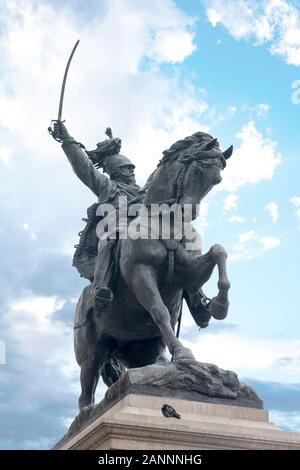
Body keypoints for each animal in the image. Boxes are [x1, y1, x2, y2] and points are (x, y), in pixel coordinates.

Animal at [74, 131, 233, 408]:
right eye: (198, 169)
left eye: (217, 179)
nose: (190, 212)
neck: (166, 221)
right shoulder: (141, 272)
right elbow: (159, 311)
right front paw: (183, 353)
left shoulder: (188, 273)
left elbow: (218, 251)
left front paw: (219, 306)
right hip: (90, 356)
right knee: (85, 395)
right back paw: (88, 412)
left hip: (142, 350)